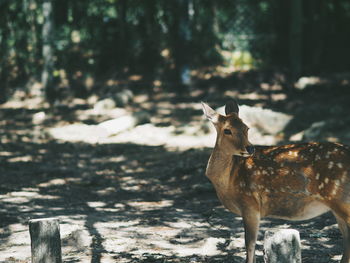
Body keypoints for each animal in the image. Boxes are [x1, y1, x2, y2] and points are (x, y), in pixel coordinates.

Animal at [201, 100, 350, 263]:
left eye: (246, 128)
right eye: (227, 130)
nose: (250, 148)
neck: (229, 180)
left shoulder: (250, 203)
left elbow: (250, 245)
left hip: (341, 200)